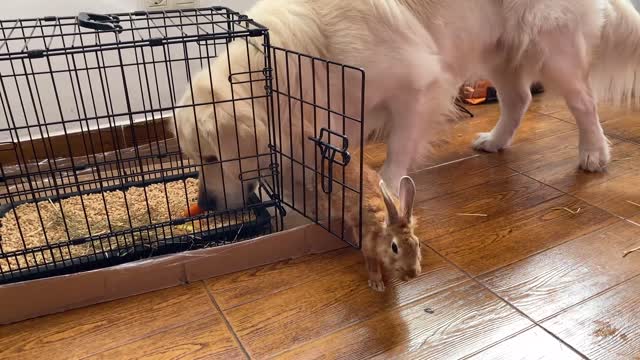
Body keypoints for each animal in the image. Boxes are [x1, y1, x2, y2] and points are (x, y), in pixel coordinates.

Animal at [172, 0, 640, 211]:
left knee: (584, 102)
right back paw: (494, 140)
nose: (206, 203)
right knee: (519, 98)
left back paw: (594, 153)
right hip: (498, 48)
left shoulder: (419, 86)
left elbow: (397, 152)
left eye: (212, 157)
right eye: (194, 158)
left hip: (553, 47)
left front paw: (388, 188)